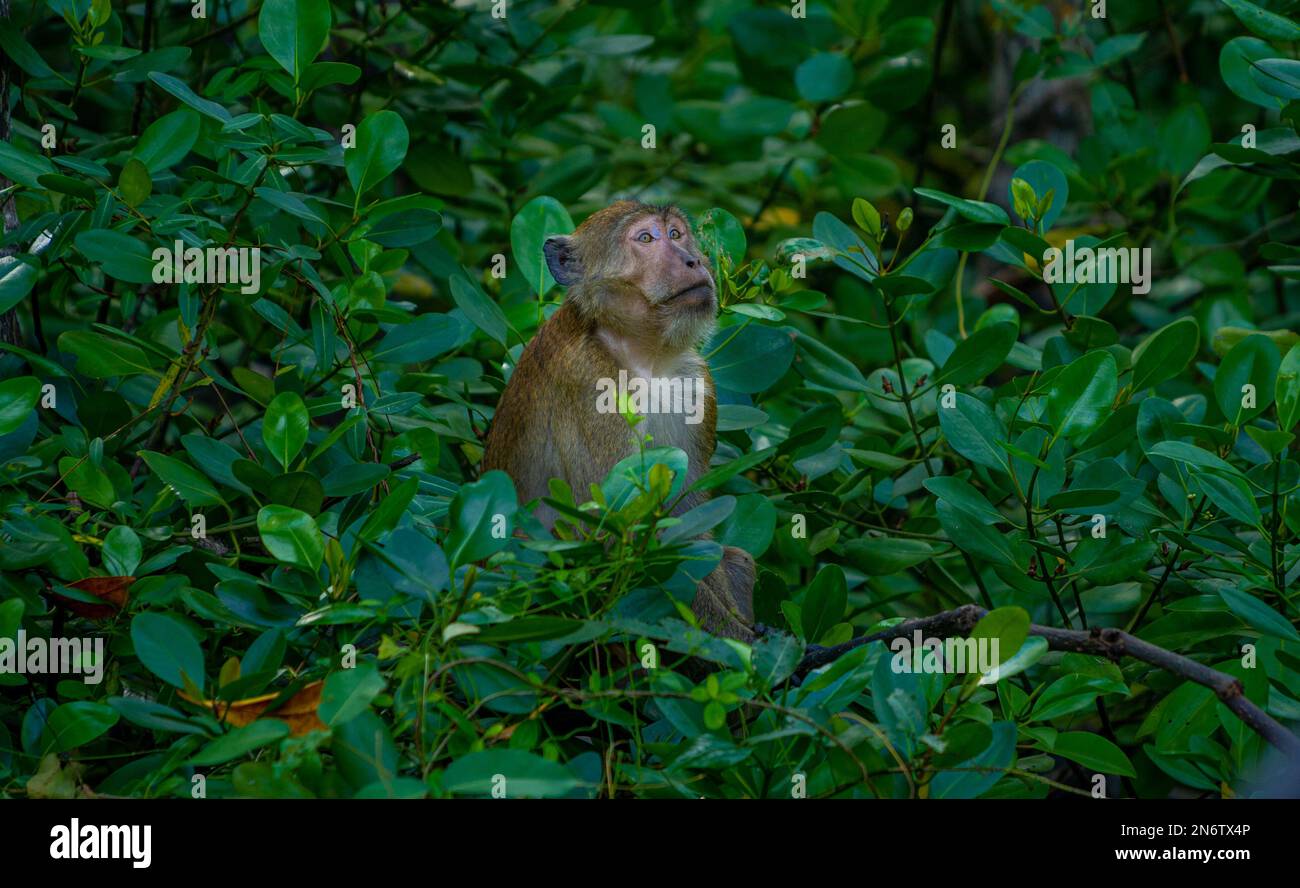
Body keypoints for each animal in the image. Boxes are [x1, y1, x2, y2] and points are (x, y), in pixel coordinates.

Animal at [483, 200, 755, 641]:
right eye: (646, 238)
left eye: (676, 233)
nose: (693, 260)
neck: (644, 356)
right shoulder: (593, 387)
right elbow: (618, 532)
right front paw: (741, 644)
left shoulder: (696, 381)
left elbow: (688, 521)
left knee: (739, 559)